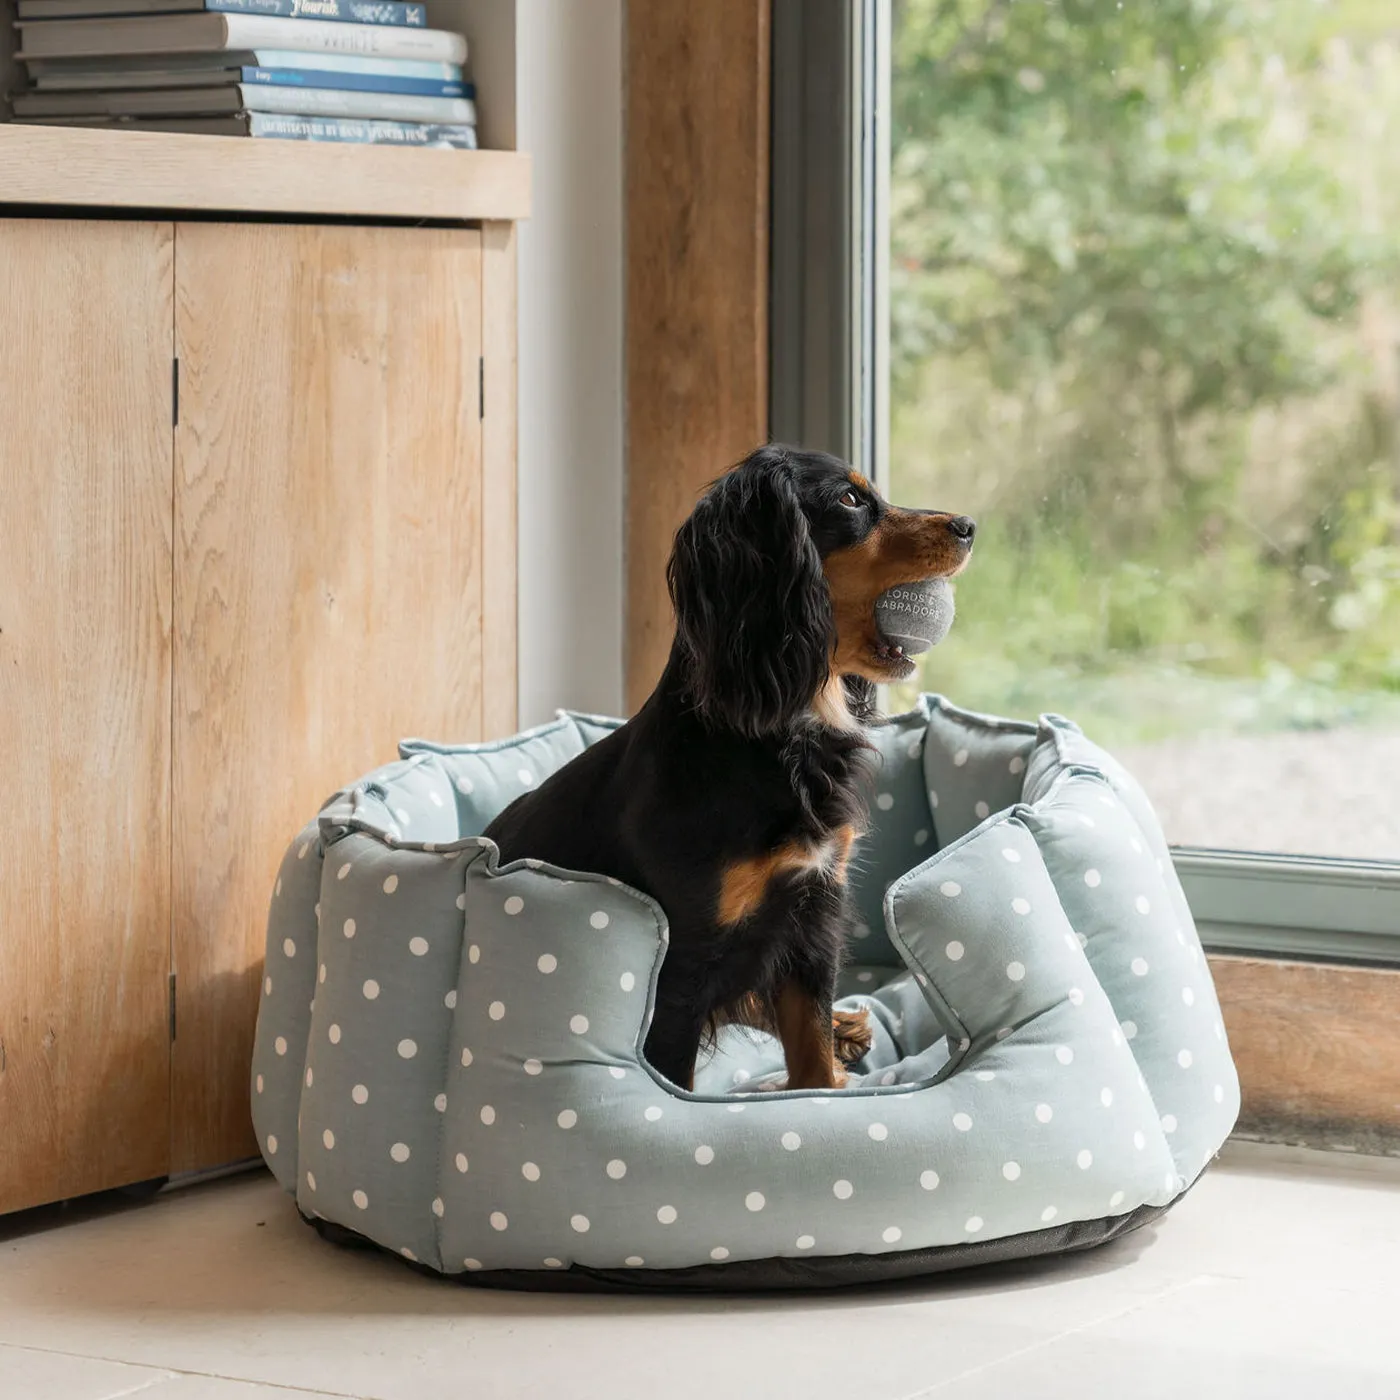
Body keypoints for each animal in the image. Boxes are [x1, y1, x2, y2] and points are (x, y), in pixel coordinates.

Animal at [484, 448, 974, 1092]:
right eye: (849, 499)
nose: (968, 526)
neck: (773, 735)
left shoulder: (813, 911)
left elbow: (811, 1055)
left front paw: (826, 1069)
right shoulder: (684, 964)